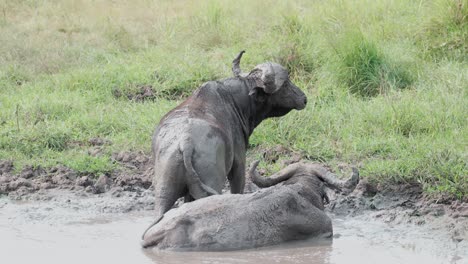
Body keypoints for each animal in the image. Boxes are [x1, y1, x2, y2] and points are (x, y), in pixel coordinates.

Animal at [146, 51, 308, 235]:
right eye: (286, 83)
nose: (304, 99)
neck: (234, 101)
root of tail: (186, 143)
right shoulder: (239, 165)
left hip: (164, 191)